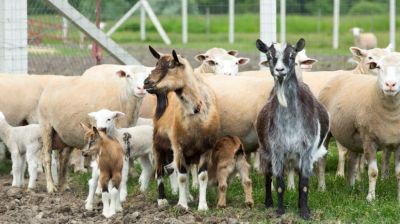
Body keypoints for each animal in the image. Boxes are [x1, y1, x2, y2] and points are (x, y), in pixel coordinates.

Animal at [255, 38, 330, 219]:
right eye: (269, 55)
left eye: (292, 55)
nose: (279, 70)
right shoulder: (277, 150)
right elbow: (279, 182)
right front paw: (279, 211)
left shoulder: (307, 151)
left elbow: (304, 183)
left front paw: (304, 212)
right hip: (266, 151)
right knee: (268, 175)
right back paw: (268, 202)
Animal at [318, 52, 400, 201]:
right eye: (379, 67)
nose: (390, 84)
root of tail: (343, 73)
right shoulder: (369, 140)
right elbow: (373, 172)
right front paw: (370, 198)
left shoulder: (398, 144)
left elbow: (399, 173)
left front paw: (398, 199)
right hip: (326, 132)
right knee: (322, 160)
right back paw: (322, 188)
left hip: (351, 136)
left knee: (352, 160)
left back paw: (351, 188)